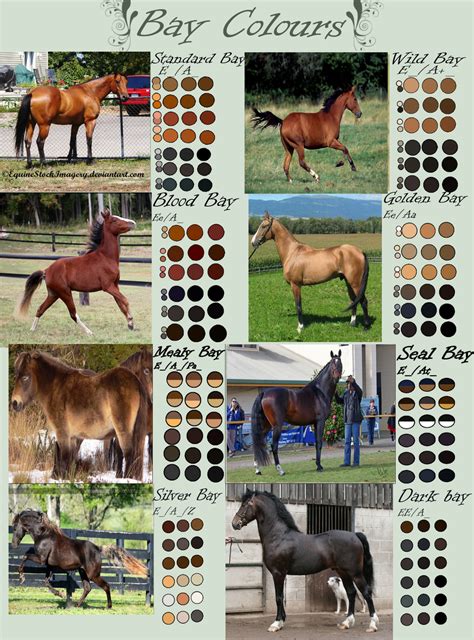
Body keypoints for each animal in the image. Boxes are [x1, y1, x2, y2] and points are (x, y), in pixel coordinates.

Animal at [10, 351, 148, 481]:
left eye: (25, 377)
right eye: (17, 375)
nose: (14, 403)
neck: (56, 389)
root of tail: (135, 381)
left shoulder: (62, 433)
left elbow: (64, 457)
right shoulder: (72, 437)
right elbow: (70, 458)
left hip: (123, 431)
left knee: (129, 455)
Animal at [11, 510, 148, 609]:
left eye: (14, 527)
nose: (13, 544)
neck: (43, 535)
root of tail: (98, 548)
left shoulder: (41, 559)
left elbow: (25, 556)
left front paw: (21, 578)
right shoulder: (49, 565)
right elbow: (46, 582)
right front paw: (60, 594)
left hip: (93, 575)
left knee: (106, 586)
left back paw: (108, 606)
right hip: (83, 572)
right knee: (87, 588)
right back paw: (77, 605)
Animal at [16, 208, 136, 336]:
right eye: (114, 219)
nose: (133, 223)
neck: (106, 257)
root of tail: (46, 271)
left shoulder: (115, 285)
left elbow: (121, 304)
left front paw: (130, 324)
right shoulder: (108, 286)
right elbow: (125, 300)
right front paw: (131, 321)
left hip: (53, 294)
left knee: (40, 309)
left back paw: (32, 329)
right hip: (65, 293)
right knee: (73, 314)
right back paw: (89, 332)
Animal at [232, 490, 379, 633]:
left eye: (245, 505)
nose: (234, 523)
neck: (278, 536)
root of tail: (355, 535)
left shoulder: (278, 573)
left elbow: (278, 598)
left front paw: (276, 624)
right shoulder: (281, 574)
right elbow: (281, 597)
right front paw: (282, 621)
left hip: (355, 573)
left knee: (366, 592)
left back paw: (372, 625)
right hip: (343, 572)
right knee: (351, 593)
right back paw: (346, 623)